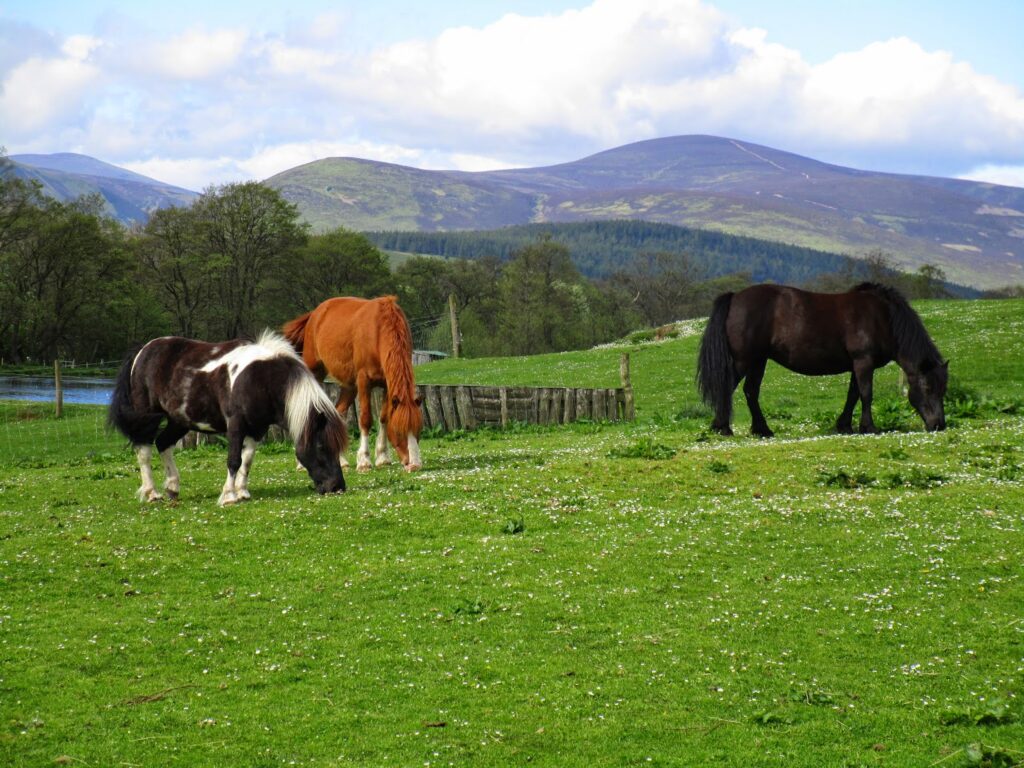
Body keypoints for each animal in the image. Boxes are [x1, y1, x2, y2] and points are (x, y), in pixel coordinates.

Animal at [108, 331, 347, 506]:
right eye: (321, 446)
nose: (337, 487)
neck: (262, 379)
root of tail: (144, 350)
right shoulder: (236, 425)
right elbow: (234, 460)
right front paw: (229, 496)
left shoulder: (257, 429)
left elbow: (248, 460)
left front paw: (242, 492)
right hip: (146, 417)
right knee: (144, 451)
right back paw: (152, 493)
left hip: (179, 420)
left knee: (163, 443)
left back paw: (173, 487)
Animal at [282, 296, 423, 472]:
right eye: (398, 431)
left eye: (419, 430)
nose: (414, 465)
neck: (379, 329)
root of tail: (315, 313)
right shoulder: (364, 381)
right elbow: (365, 419)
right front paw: (364, 461)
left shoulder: (387, 384)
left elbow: (383, 417)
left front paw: (382, 457)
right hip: (315, 371)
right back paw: (302, 463)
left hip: (350, 386)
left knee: (338, 412)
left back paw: (341, 460)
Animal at [697, 282, 948, 437]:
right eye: (928, 387)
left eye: (943, 389)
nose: (939, 425)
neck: (882, 317)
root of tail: (735, 297)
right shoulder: (863, 362)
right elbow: (866, 394)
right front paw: (869, 427)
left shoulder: (856, 366)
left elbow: (853, 395)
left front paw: (844, 425)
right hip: (744, 360)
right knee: (727, 388)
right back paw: (723, 427)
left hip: (758, 361)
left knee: (750, 391)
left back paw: (762, 429)